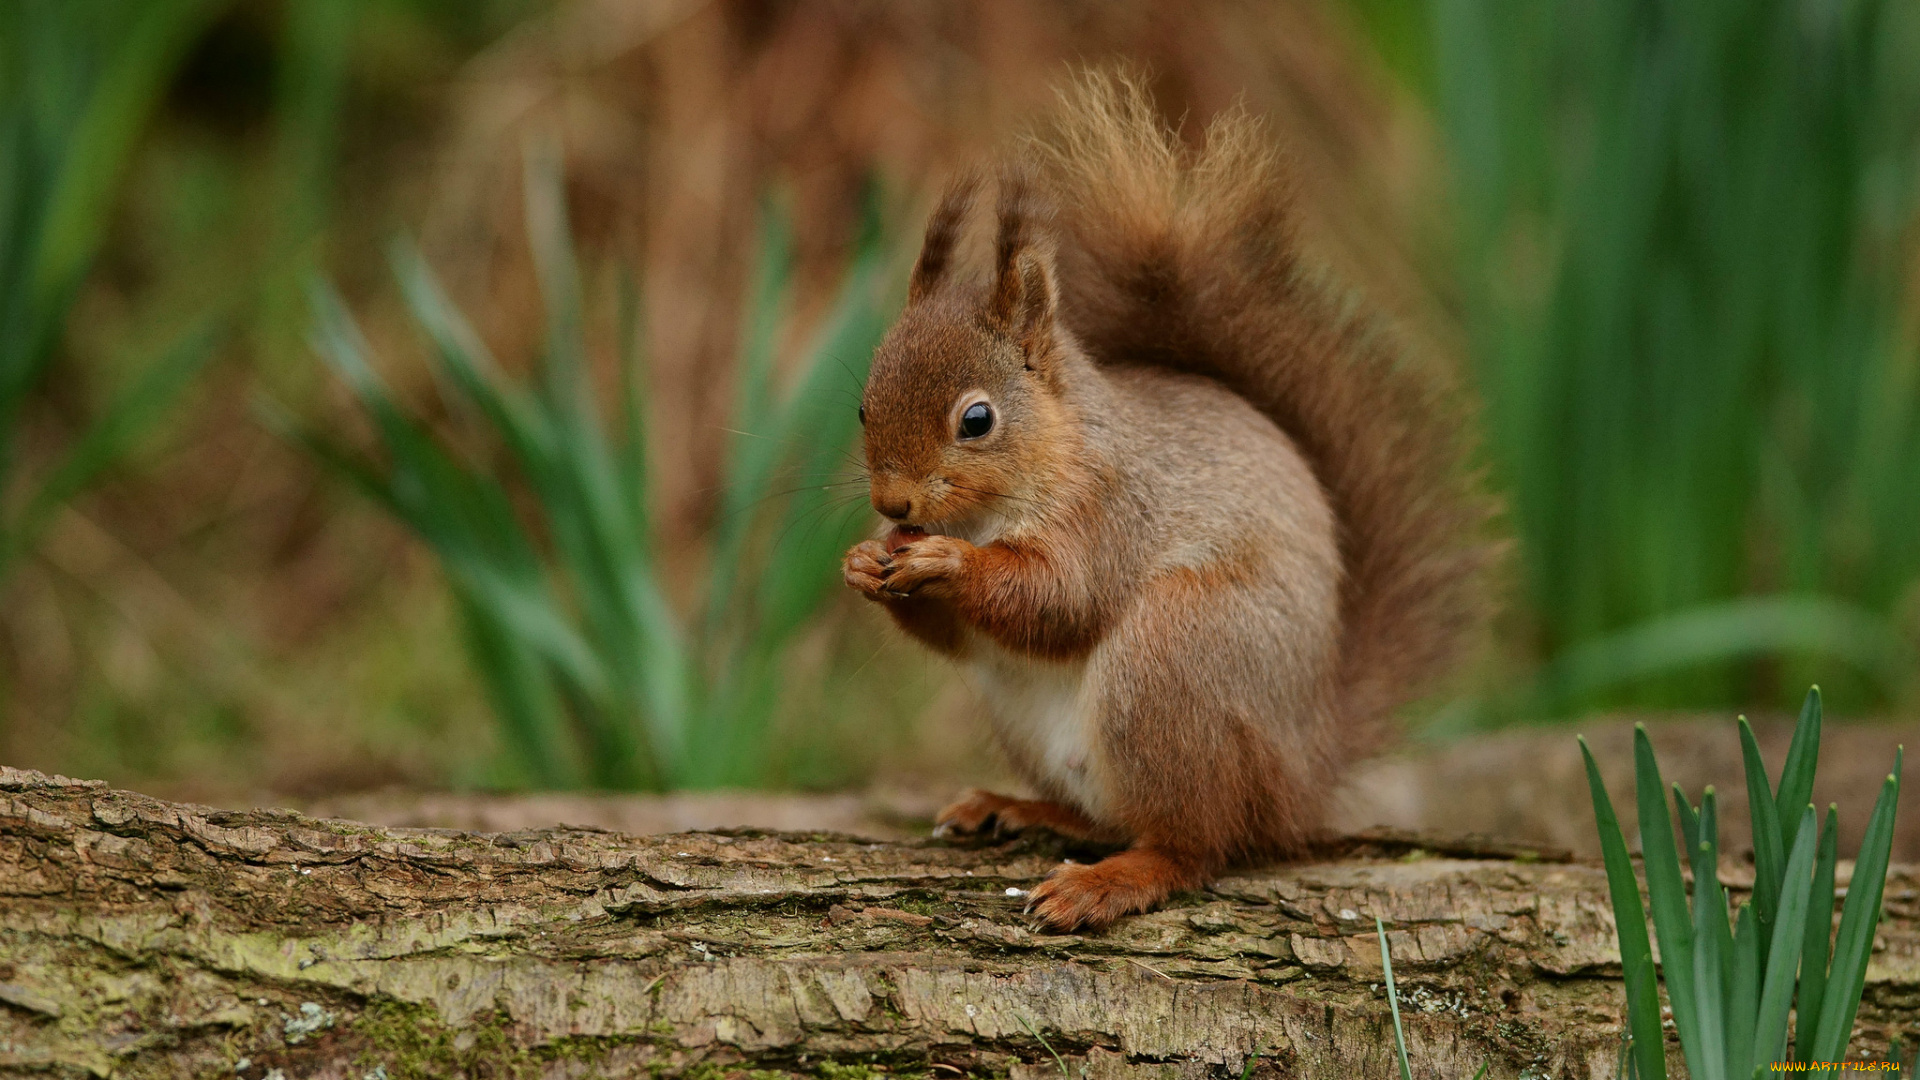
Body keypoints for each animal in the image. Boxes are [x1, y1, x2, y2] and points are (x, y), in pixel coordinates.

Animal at [837, 71, 1482, 930]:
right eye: (863, 407)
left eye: (977, 420)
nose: (896, 503)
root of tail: (1304, 770)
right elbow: (958, 635)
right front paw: (863, 561)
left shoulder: (1112, 511)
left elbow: (1060, 600)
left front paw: (946, 562)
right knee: (1111, 815)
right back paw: (1020, 809)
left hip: (1174, 661)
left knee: (1196, 845)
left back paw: (1110, 879)